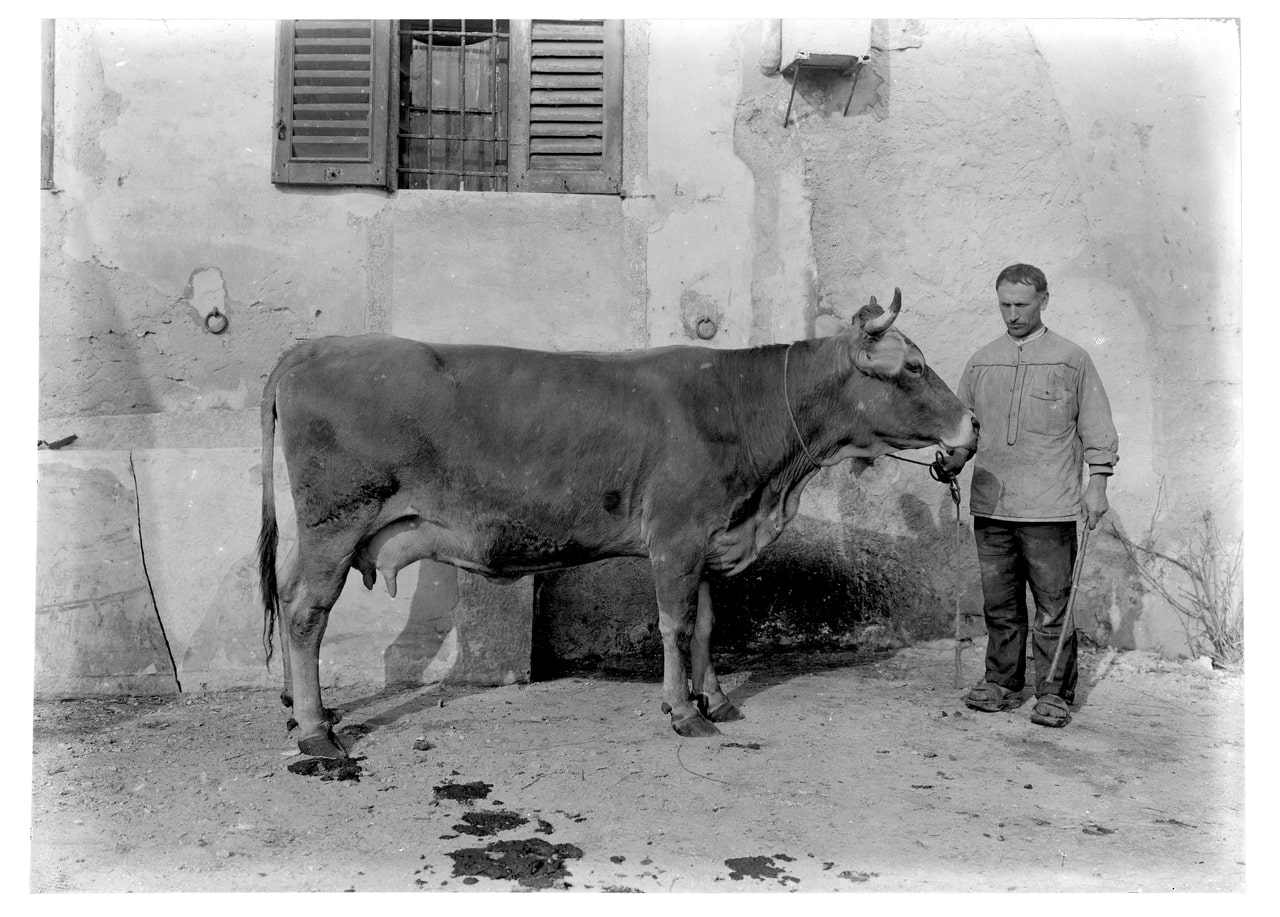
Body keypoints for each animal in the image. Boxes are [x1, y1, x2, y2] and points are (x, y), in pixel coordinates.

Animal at [259, 290, 977, 758]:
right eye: (913, 366)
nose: (972, 425)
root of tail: (312, 349)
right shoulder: (677, 537)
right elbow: (675, 625)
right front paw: (684, 711)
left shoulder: (708, 537)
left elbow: (706, 626)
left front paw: (715, 698)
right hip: (337, 519)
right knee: (306, 612)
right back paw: (318, 732)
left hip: (326, 529)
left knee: (290, 595)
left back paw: (299, 708)